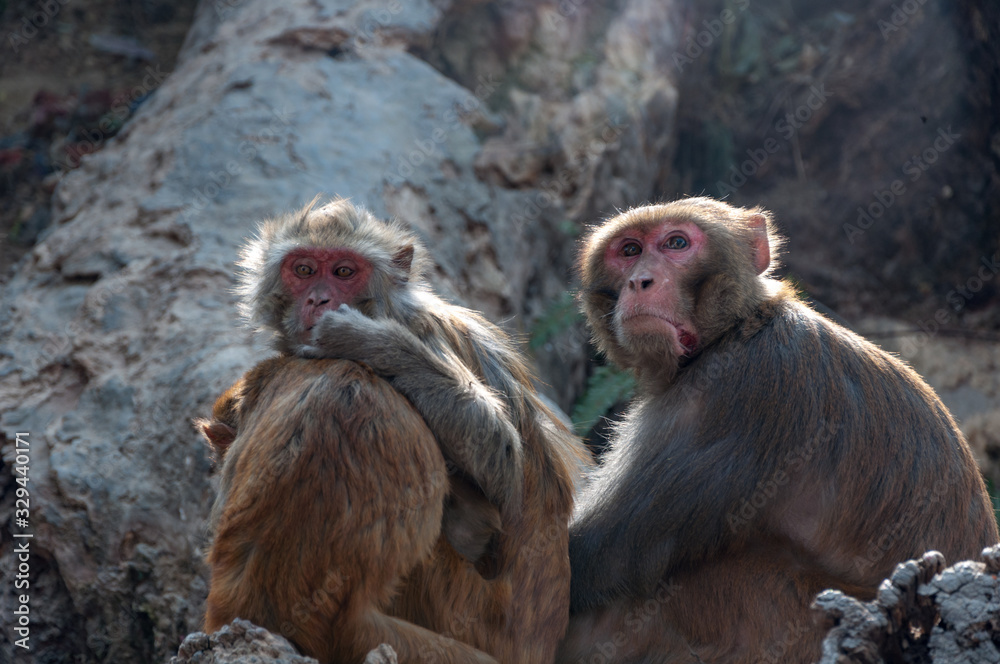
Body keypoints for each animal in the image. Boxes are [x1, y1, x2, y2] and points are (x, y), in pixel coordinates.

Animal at [204, 198, 592, 664]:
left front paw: (365, 341)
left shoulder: (425, 331)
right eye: (304, 270)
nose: (318, 298)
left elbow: (499, 452)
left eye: (344, 272)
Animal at [560, 197, 996, 664]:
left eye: (676, 243)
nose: (640, 281)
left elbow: (584, 562)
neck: (740, 326)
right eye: (629, 251)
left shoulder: (736, 391)